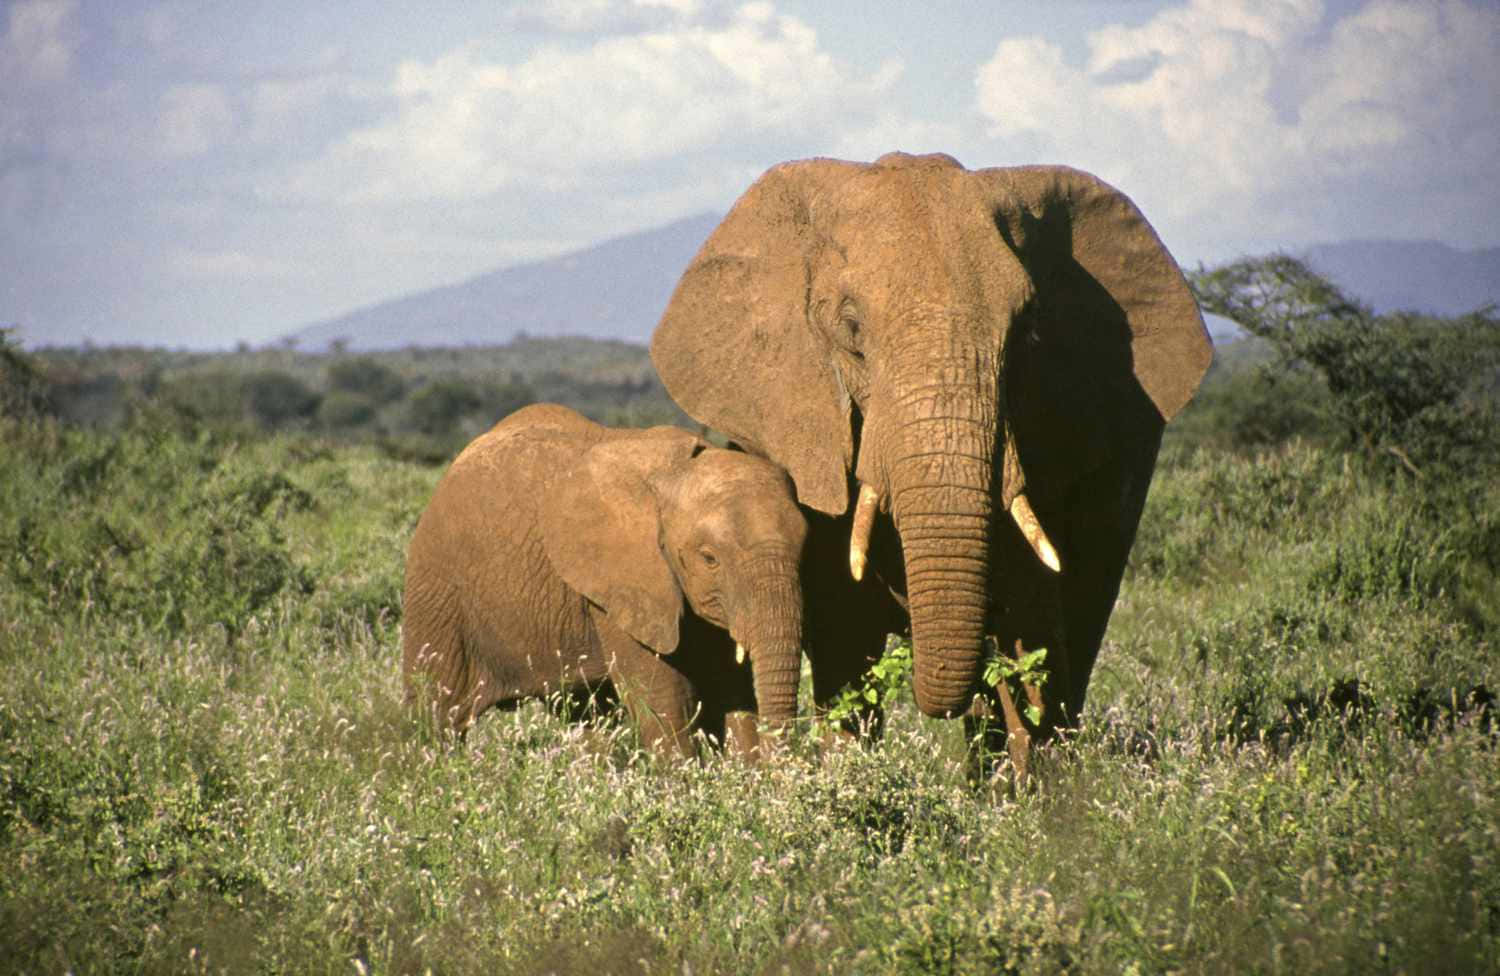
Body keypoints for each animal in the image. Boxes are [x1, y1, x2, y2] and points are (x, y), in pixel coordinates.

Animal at [401, 403, 807, 759]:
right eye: (710, 559)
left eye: (805, 547)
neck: (675, 473)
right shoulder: (622, 580)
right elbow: (663, 695)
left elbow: (731, 687)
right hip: (437, 591)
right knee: (436, 713)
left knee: (588, 715)